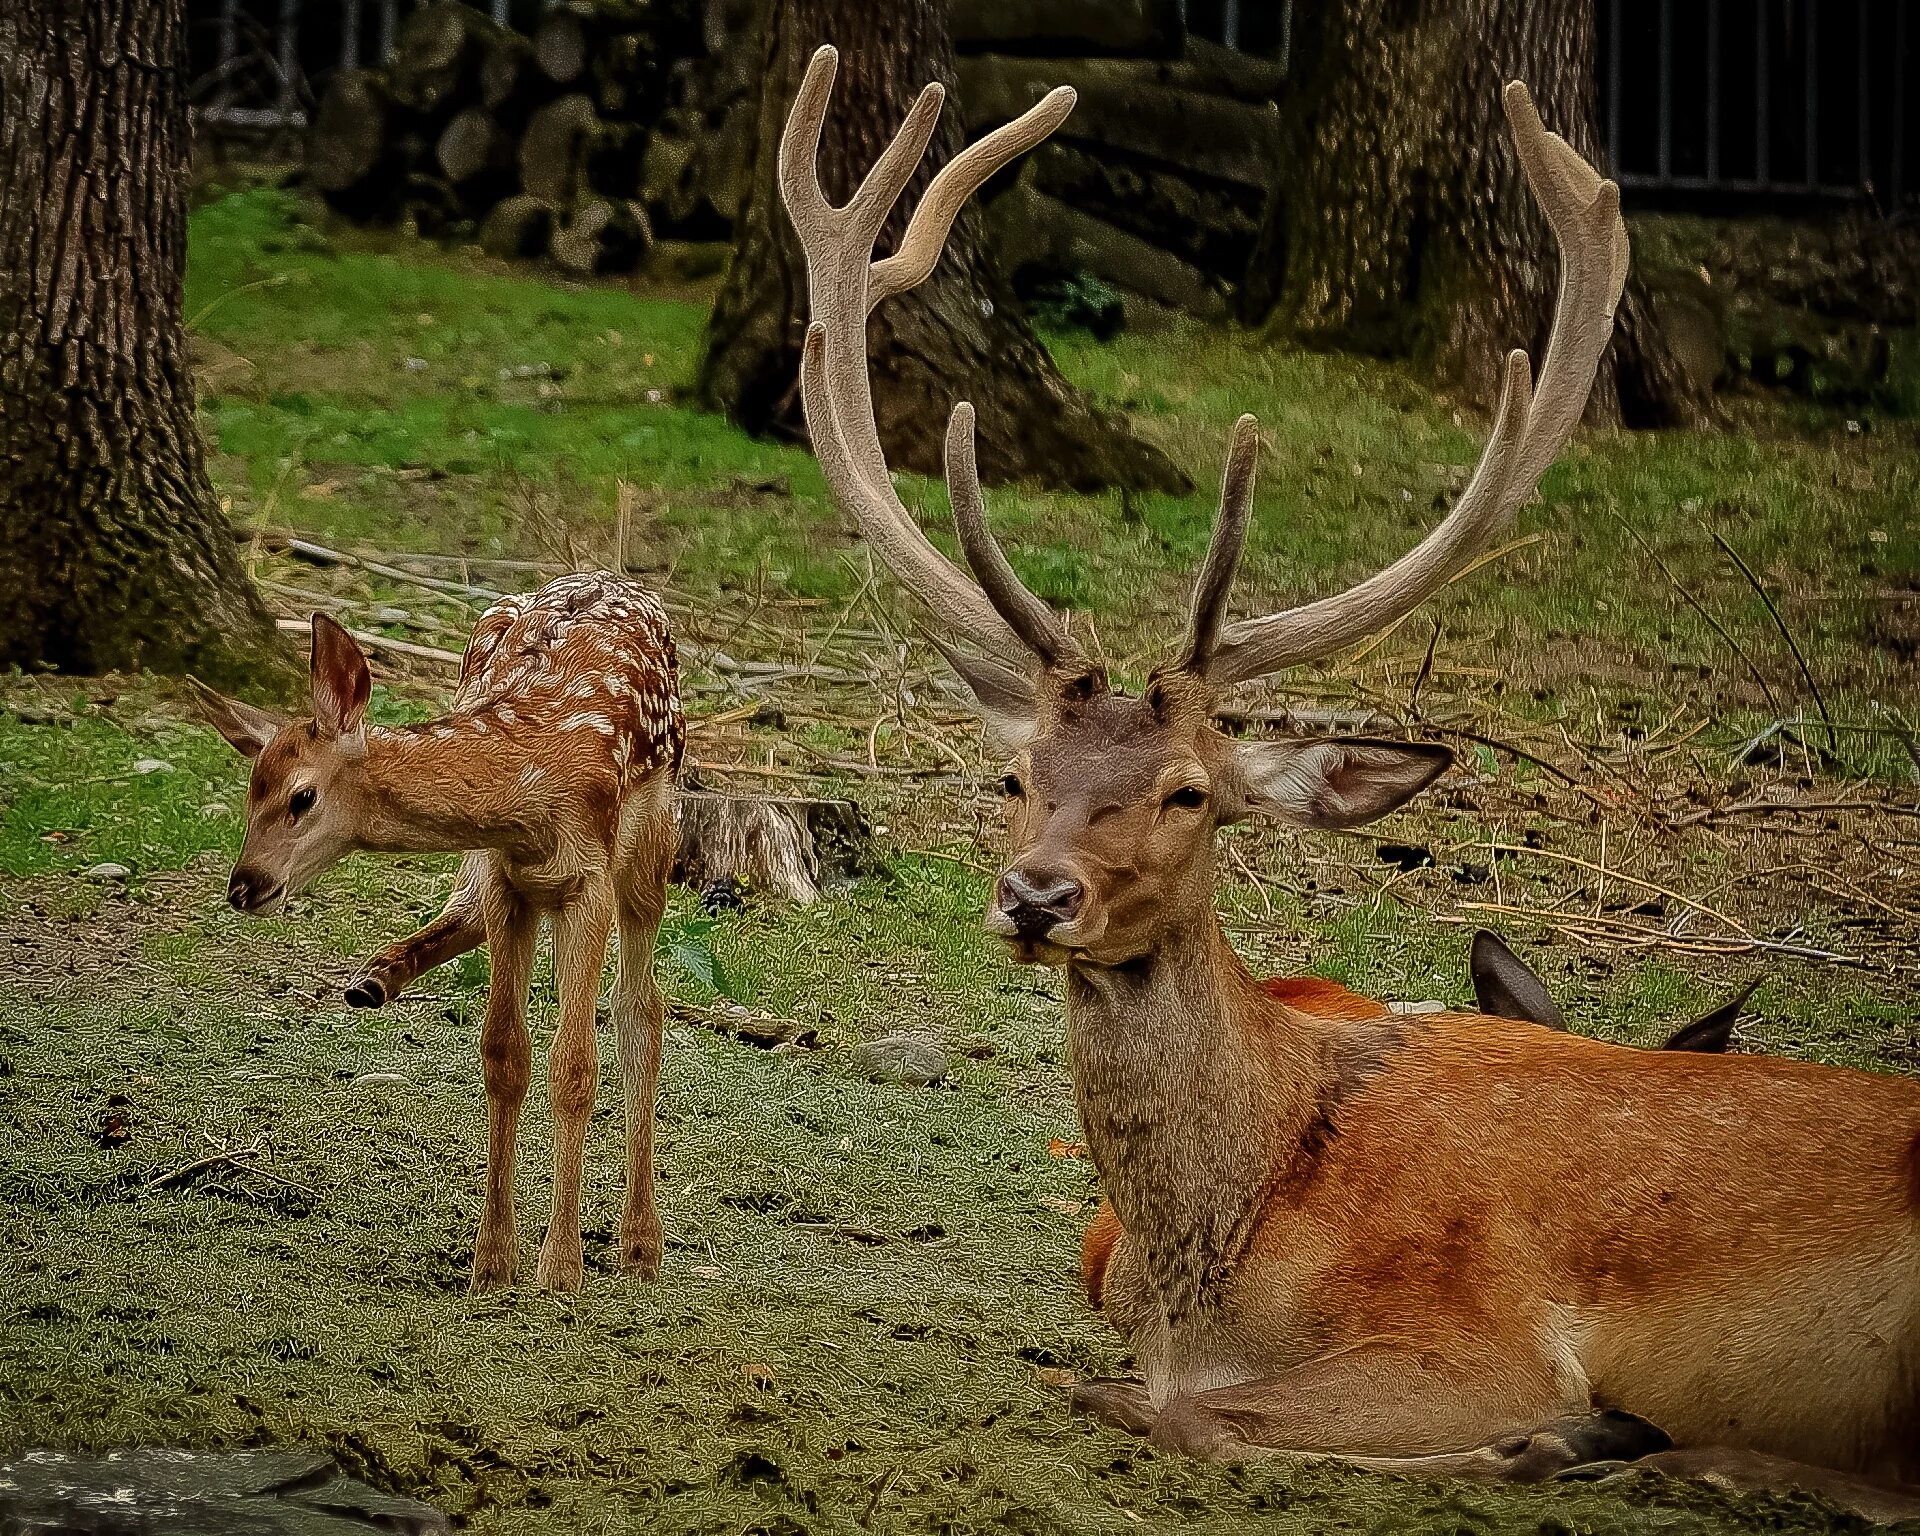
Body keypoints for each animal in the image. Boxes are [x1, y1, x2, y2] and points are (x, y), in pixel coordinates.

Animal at [189, 576, 683, 1297]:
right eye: (251, 792)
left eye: (301, 797)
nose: (245, 886)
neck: (527, 784)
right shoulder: (510, 880)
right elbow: (504, 1056)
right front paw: (492, 1261)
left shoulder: (587, 877)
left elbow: (574, 1067)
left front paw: (559, 1267)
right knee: (468, 910)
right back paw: (377, 975)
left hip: (654, 840)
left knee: (642, 1009)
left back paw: (642, 1244)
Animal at [779, 45, 1920, 1497]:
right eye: (1017, 778)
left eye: (1191, 793)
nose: (1035, 897)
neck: (1215, 1270)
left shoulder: (1474, 1331)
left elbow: (1173, 1413)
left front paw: (1554, 1433)